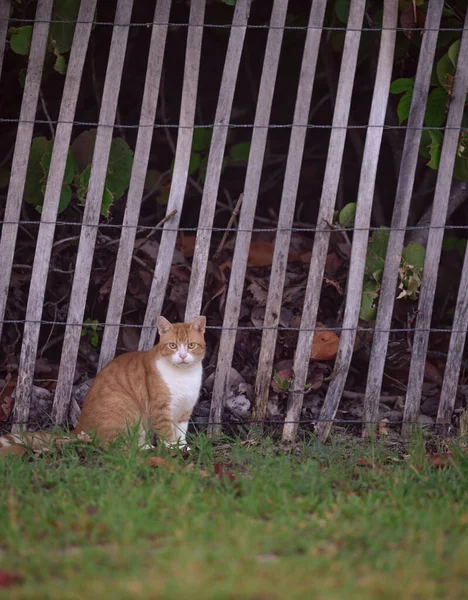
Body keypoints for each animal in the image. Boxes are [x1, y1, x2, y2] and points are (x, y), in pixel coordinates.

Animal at [0, 316, 207, 458]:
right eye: (172, 346)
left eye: (190, 345)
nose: (182, 355)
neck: (183, 376)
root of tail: (80, 426)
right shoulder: (160, 410)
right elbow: (167, 433)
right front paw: (173, 450)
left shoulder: (184, 411)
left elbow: (181, 432)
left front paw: (183, 447)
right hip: (128, 410)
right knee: (114, 447)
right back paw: (143, 451)